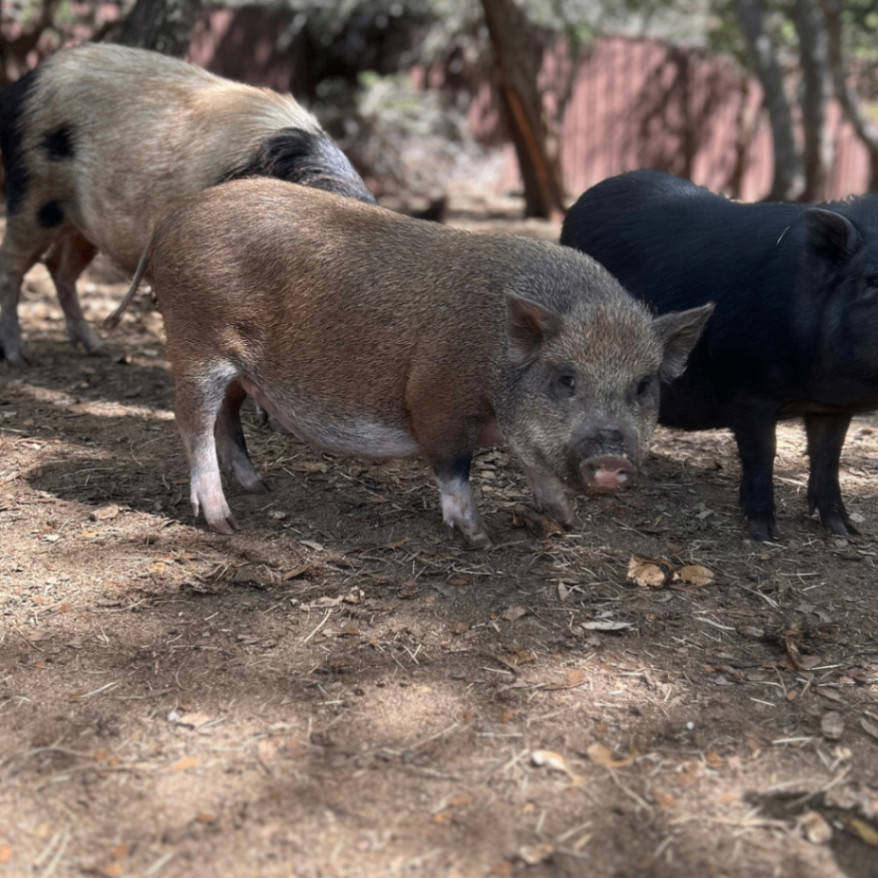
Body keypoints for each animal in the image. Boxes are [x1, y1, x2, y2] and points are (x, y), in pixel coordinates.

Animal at [0, 43, 376, 367]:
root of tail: (25, 83)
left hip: (84, 223)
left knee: (59, 268)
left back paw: (97, 348)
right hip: (34, 194)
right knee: (13, 267)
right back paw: (19, 359)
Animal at [117, 177, 713, 545]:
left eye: (643, 386)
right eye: (566, 378)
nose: (611, 459)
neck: (497, 359)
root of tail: (174, 215)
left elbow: (538, 466)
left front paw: (565, 522)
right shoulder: (438, 401)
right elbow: (454, 469)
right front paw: (480, 538)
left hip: (242, 368)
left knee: (227, 418)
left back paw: (259, 488)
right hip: (196, 342)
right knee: (191, 422)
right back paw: (225, 524)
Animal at [561, 169, 878, 540]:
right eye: (872, 280)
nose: (849, 532)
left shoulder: (832, 408)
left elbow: (828, 457)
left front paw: (845, 532)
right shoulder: (748, 388)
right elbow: (762, 452)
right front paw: (763, 533)